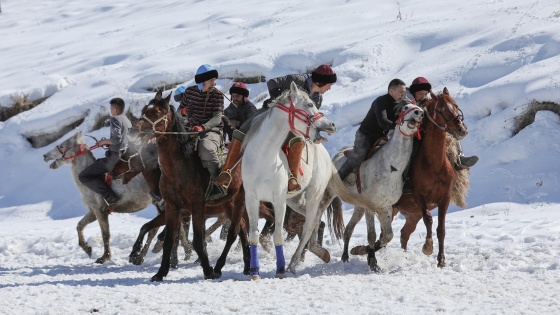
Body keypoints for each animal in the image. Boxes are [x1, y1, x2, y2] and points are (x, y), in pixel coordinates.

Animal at [42, 131, 158, 264]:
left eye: (62, 145)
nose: (45, 156)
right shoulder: (93, 212)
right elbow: (79, 225)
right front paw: (87, 249)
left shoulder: (100, 212)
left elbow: (105, 234)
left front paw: (104, 257)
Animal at [243, 81, 382, 278]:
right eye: (309, 104)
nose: (331, 124)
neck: (264, 158)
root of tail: (328, 157)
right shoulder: (251, 199)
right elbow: (254, 234)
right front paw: (254, 272)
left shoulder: (279, 200)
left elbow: (278, 235)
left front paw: (280, 270)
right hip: (295, 201)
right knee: (315, 221)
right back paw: (318, 252)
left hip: (313, 195)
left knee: (309, 225)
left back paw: (294, 262)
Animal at [328, 103, 424, 272]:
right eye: (405, 107)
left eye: (418, 107)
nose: (419, 113)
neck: (390, 166)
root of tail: (338, 154)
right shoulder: (370, 207)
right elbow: (372, 235)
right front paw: (373, 262)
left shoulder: (385, 207)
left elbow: (387, 236)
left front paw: (362, 251)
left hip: (358, 208)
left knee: (348, 230)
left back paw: (345, 256)